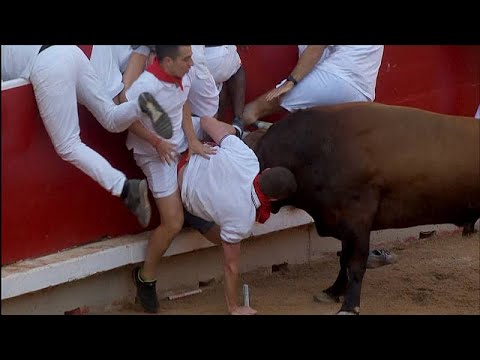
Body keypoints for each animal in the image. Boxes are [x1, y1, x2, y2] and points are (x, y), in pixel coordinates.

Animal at [246, 102, 478, 316]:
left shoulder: (357, 219)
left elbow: (356, 263)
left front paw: (349, 306)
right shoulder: (344, 224)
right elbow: (343, 259)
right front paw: (333, 291)